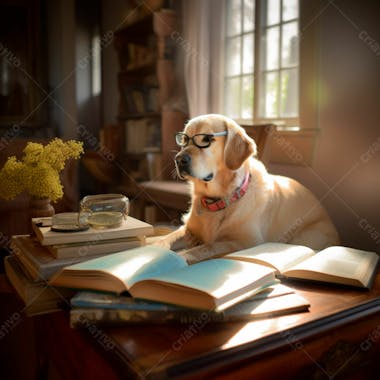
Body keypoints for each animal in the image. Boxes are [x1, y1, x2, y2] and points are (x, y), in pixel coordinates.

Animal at [156, 113, 340, 262]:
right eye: (184, 139)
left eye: (207, 139)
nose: (179, 159)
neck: (218, 200)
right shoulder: (187, 229)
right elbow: (168, 237)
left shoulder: (247, 241)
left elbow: (208, 246)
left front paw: (181, 256)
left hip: (306, 236)